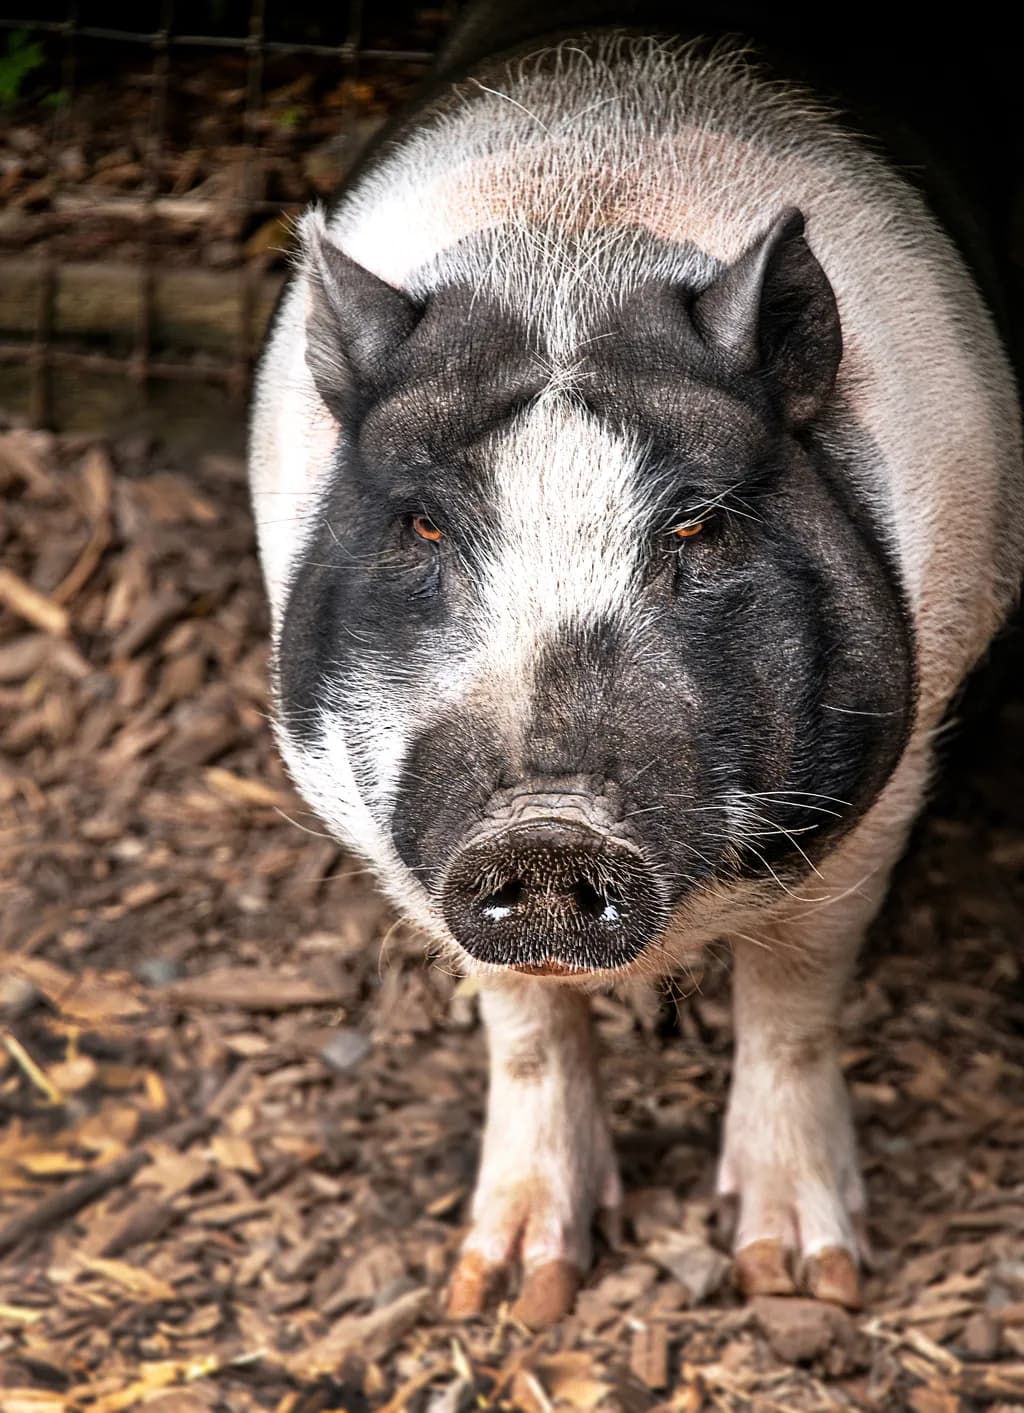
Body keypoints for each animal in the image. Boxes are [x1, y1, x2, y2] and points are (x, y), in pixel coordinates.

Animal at [249, 0, 1023, 1324]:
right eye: (423, 526)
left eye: (697, 527)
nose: (549, 829)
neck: (576, 254)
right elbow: (519, 1017)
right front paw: (509, 1293)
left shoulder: (899, 764)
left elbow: (793, 993)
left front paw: (802, 1276)